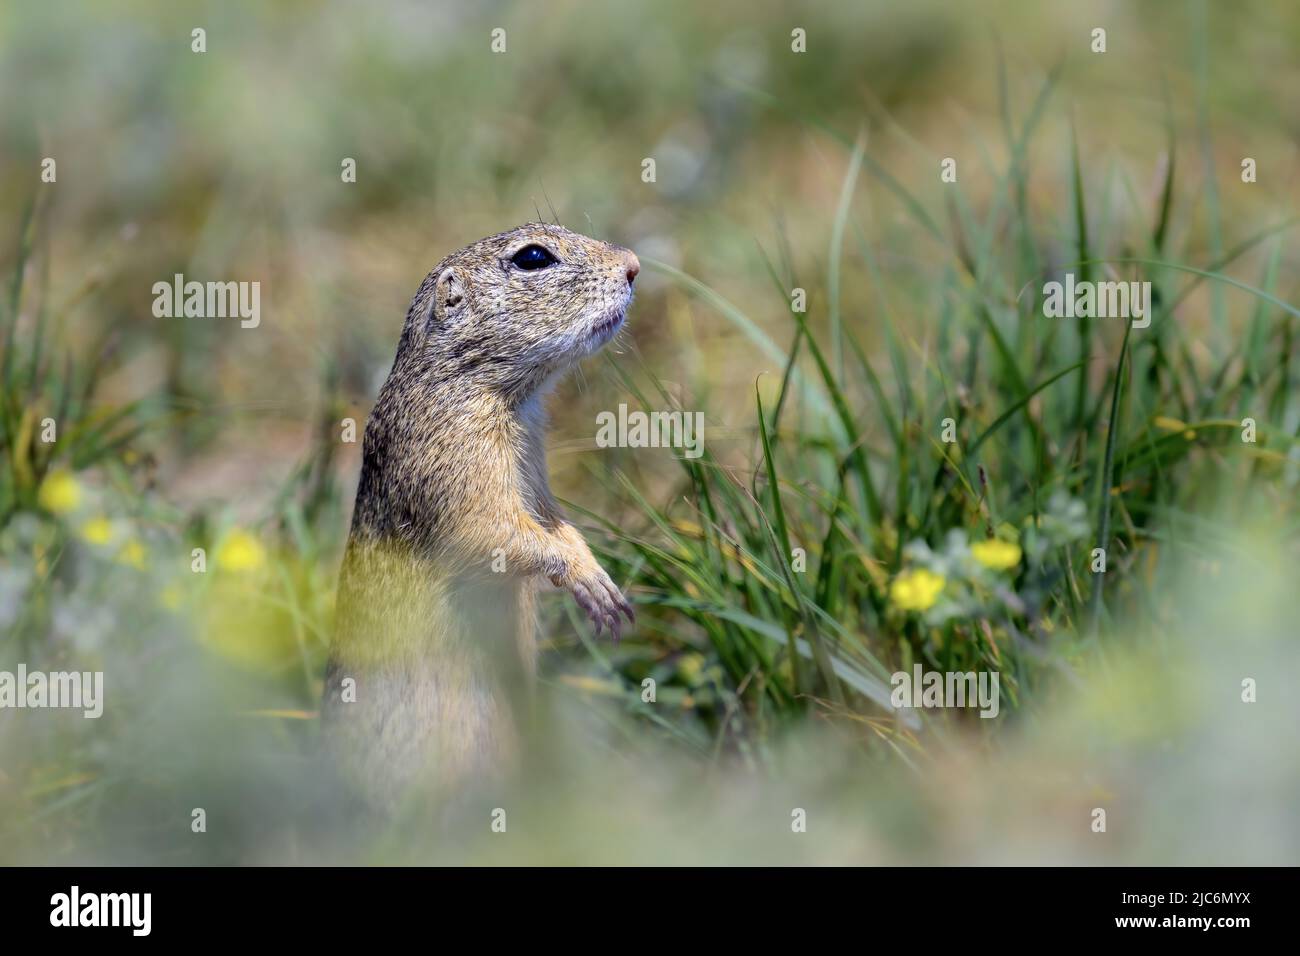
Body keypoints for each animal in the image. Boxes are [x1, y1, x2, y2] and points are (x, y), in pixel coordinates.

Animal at [325, 222, 639, 806]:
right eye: (533, 257)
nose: (632, 264)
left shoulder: (534, 471)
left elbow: (554, 522)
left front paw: (598, 573)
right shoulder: (458, 460)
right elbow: (490, 532)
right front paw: (589, 584)